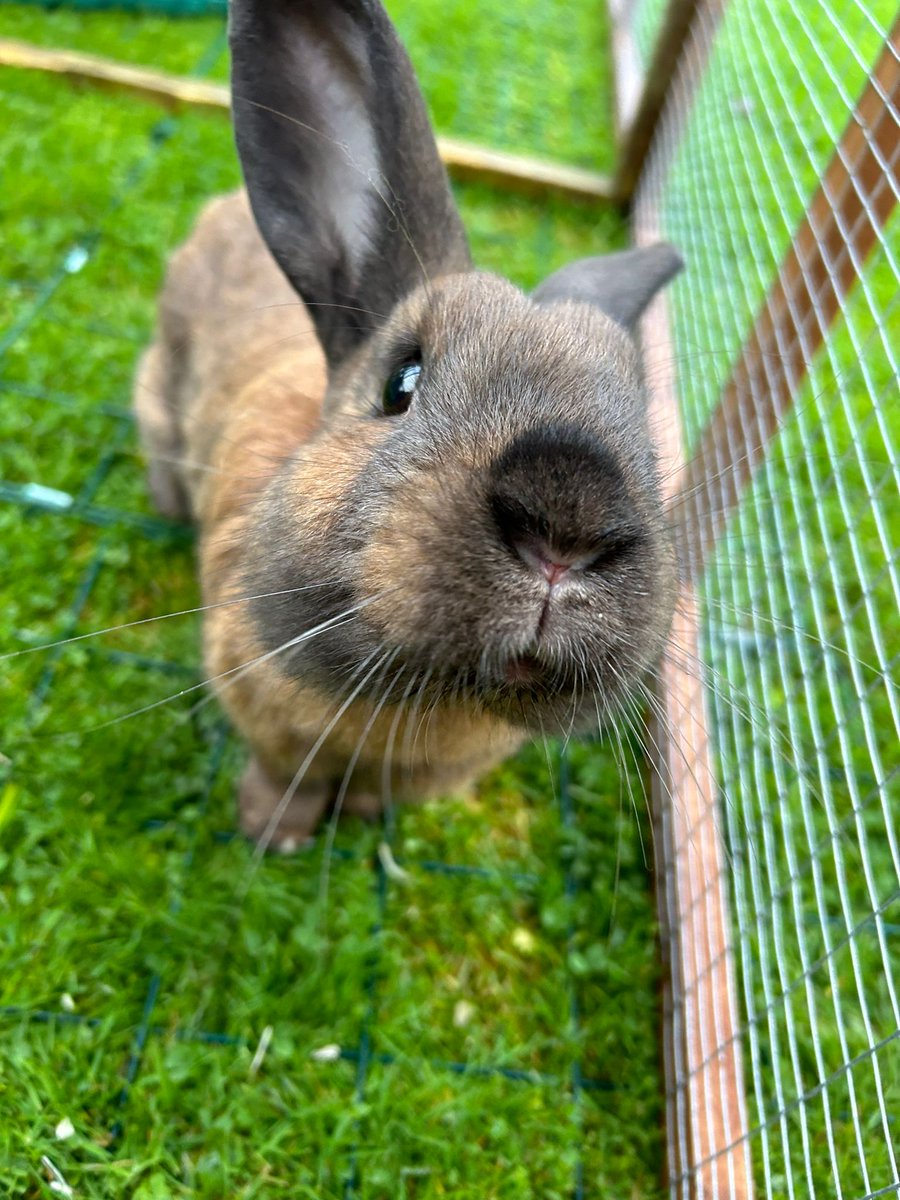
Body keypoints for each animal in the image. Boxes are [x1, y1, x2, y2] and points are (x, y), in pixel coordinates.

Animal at [133, 0, 683, 852]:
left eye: (646, 436)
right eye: (402, 383)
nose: (569, 524)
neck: (421, 707)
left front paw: (361, 819)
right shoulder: (268, 728)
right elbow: (282, 781)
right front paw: (273, 835)